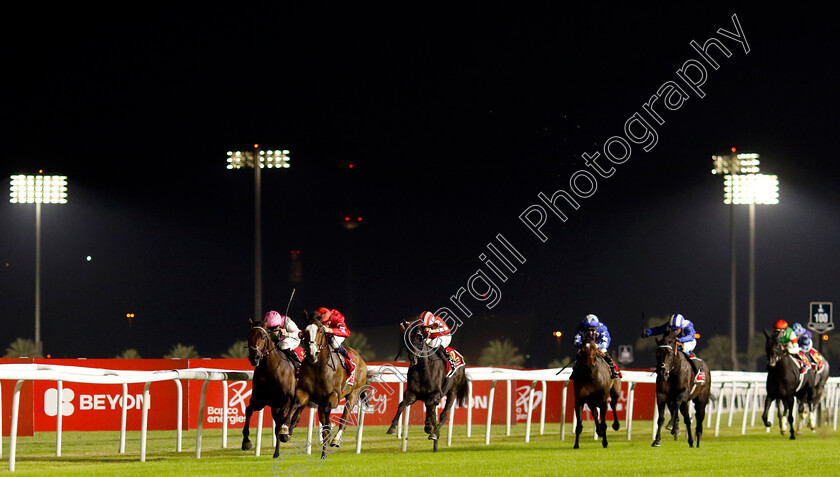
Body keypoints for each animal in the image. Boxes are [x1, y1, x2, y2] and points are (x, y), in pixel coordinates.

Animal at [241, 318, 296, 456]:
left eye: (264, 336)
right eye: (249, 336)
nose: (254, 357)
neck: (270, 370)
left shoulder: (286, 400)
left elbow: (283, 419)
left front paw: (284, 434)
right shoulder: (260, 399)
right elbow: (248, 410)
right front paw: (246, 441)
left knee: (294, 414)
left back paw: (286, 434)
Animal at [278, 310, 368, 460]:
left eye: (320, 330)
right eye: (305, 331)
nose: (312, 352)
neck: (318, 366)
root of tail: (360, 359)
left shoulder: (334, 396)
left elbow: (328, 416)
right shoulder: (304, 391)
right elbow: (296, 404)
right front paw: (285, 430)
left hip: (353, 394)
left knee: (344, 419)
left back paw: (335, 441)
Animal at [386, 320, 470, 450]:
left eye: (420, 338)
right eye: (407, 339)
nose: (413, 358)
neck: (423, 368)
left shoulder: (436, 393)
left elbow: (429, 405)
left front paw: (430, 427)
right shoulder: (411, 393)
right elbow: (402, 404)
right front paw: (392, 427)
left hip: (453, 391)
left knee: (444, 414)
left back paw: (434, 433)